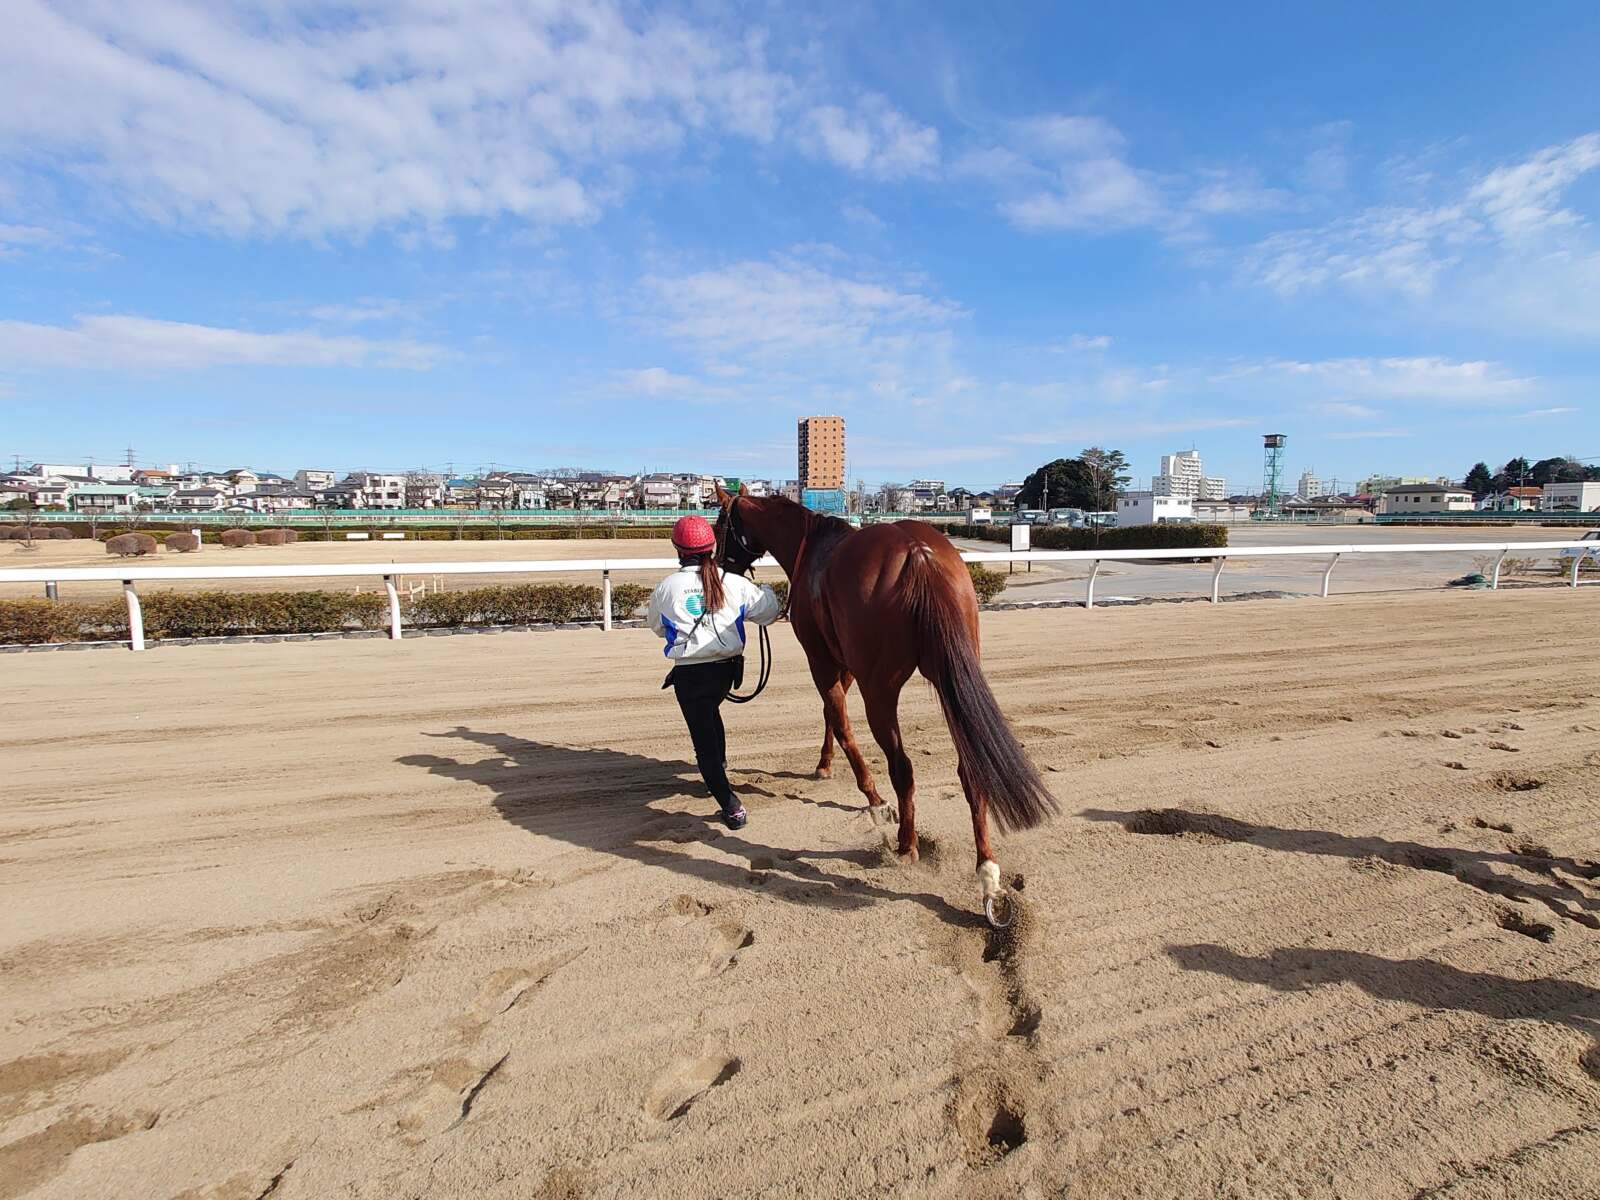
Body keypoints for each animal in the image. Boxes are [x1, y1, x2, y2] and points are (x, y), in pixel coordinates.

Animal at [720, 483, 1056, 928]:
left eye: (718, 524)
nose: (715, 565)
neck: (812, 547)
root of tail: (918, 553)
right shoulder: (844, 663)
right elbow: (831, 715)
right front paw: (824, 764)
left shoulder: (823, 660)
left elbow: (838, 719)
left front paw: (872, 798)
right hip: (952, 676)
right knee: (971, 770)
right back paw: (987, 874)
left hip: (880, 689)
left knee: (903, 767)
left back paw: (906, 842)